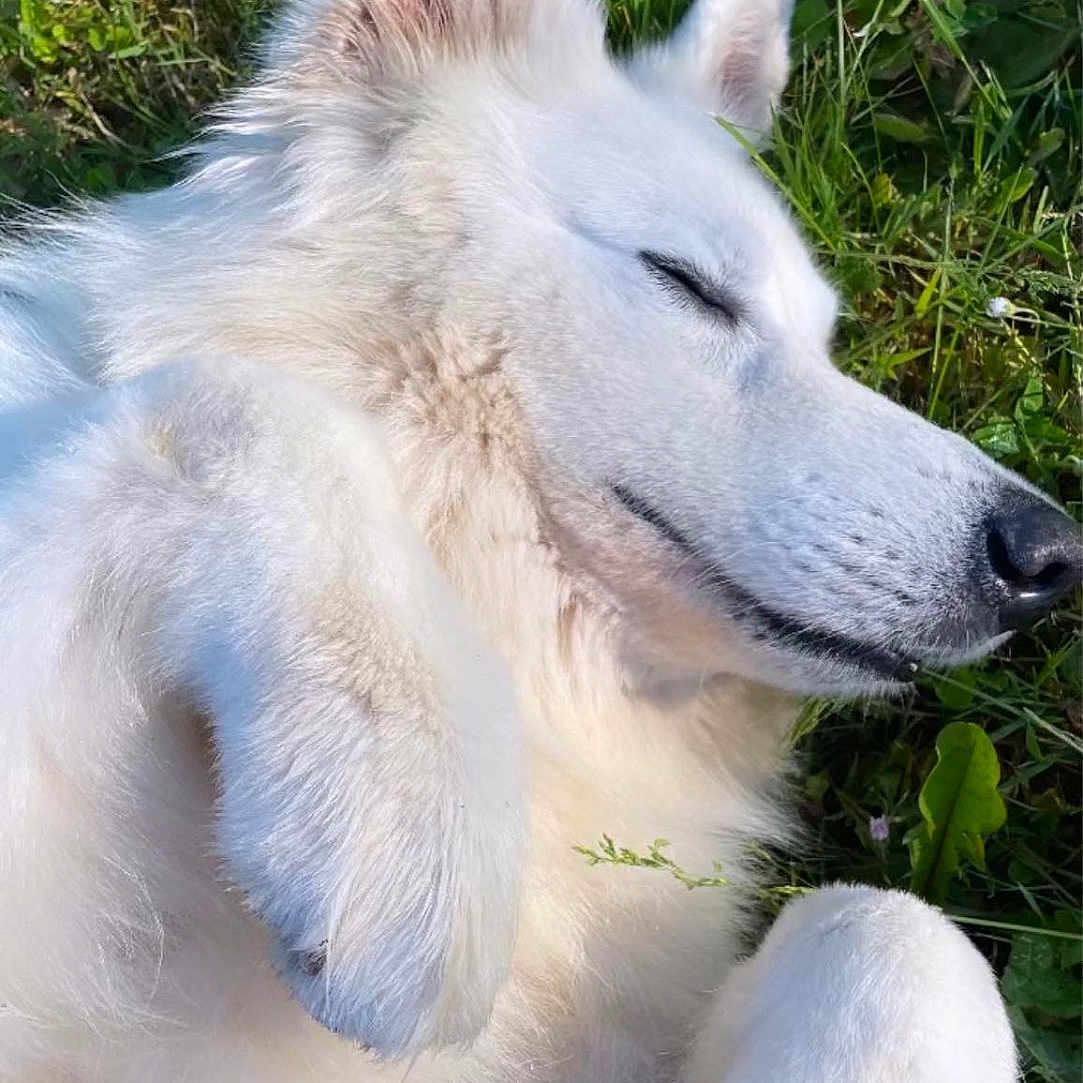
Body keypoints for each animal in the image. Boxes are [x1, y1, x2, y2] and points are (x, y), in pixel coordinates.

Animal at [0, 0, 1079, 1079]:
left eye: (824, 344)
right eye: (689, 284)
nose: (1049, 556)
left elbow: (896, 925)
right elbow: (236, 397)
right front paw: (409, 822)